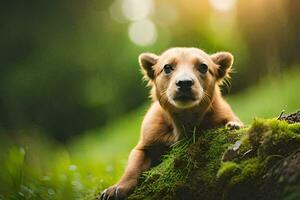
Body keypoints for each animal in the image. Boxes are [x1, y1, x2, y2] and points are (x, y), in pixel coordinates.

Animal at [98, 47, 244, 199]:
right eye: (167, 67)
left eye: (203, 67)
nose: (184, 82)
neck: (183, 121)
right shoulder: (146, 142)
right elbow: (132, 167)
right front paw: (117, 187)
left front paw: (233, 125)